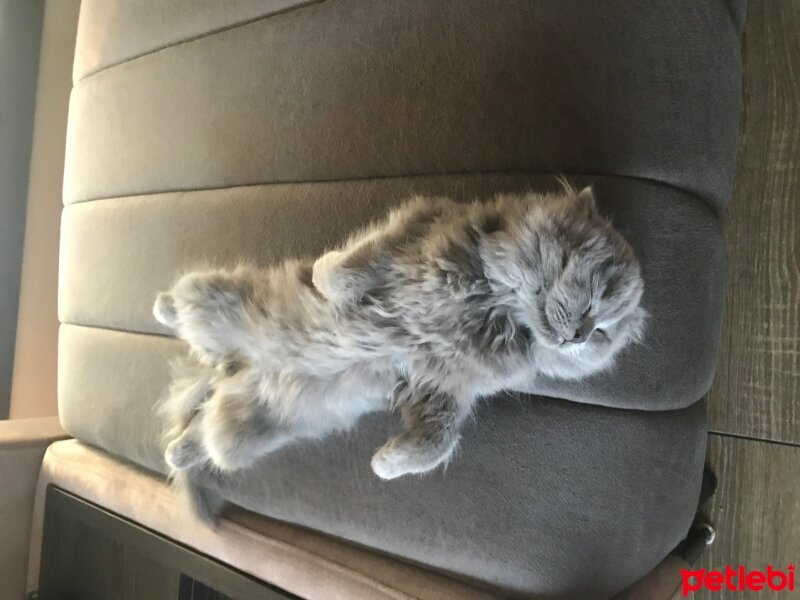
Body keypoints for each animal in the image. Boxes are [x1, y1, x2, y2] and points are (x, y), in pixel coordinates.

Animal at [155, 186, 644, 520]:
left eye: (602, 333)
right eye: (595, 296)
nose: (579, 335)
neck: (496, 313)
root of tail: (230, 368)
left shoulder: (439, 387)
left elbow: (437, 442)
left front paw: (385, 464)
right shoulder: (410, 231)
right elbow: (348, 266)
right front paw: (327, 285)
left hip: (245, 432)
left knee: (201, 435)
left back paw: (176, 453)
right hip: (211, 298)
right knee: (182, 305)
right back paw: (164, 308)